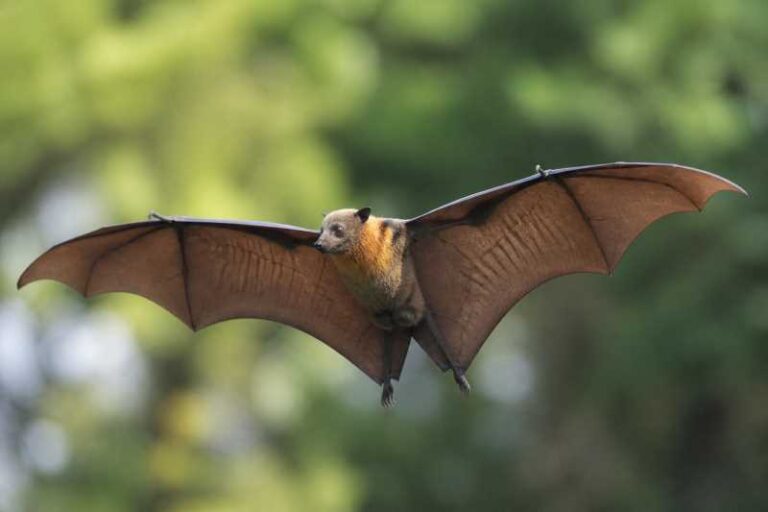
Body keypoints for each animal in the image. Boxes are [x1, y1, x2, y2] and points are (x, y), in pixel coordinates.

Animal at [314, 207, 471, 405]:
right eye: (320, 231)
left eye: (338, 230)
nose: (318, 244)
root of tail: (400, 322)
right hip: (385, 321)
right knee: (388, 337)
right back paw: (387, 389)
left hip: (419, 306)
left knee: (430, 324)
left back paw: (460, 377)